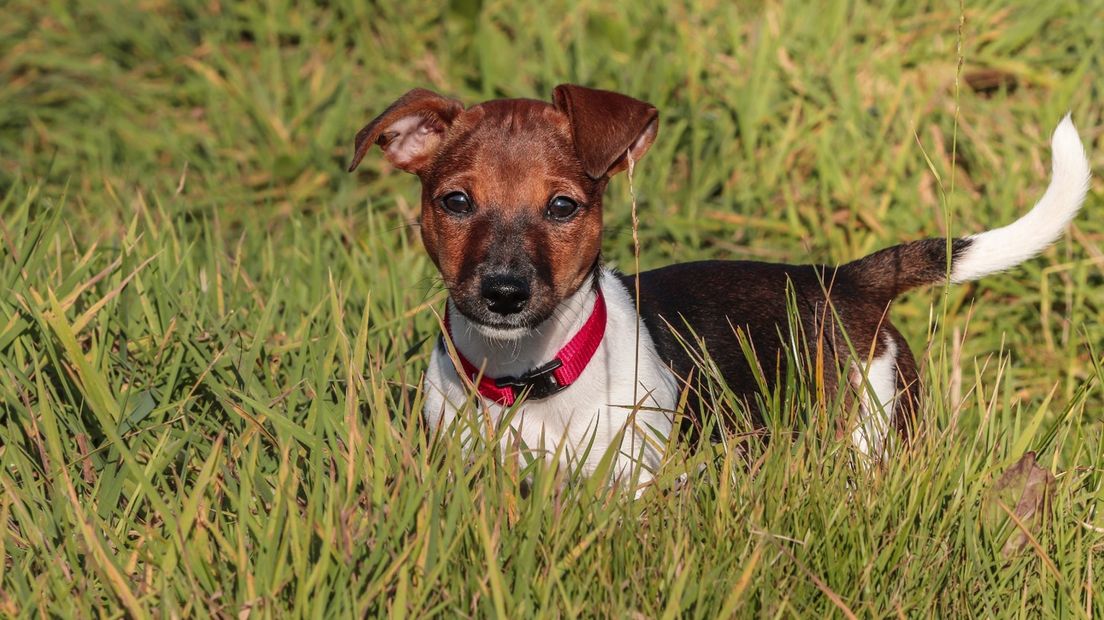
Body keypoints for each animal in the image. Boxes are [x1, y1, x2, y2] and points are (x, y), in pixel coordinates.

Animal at [348, 83, 1090, 487]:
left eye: (562, 207)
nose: (504, 292)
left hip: (871, 432)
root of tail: (842, 279)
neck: (526, 379)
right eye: (455, 202)